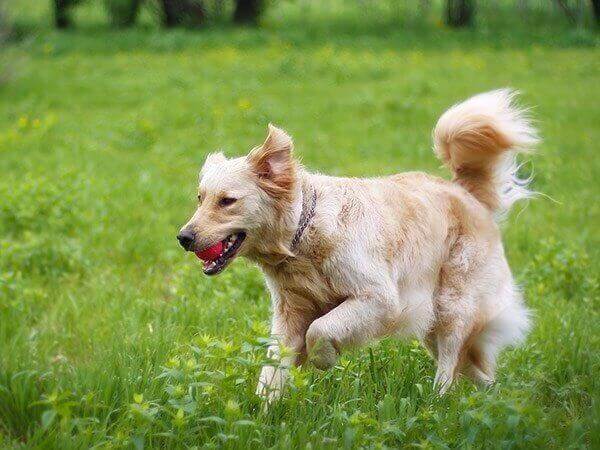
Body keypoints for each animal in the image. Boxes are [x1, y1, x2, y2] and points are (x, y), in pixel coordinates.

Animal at [177, 88, 536, 400]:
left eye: (227, 201)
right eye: (200, 198)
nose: (183, 237)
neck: (302, 235)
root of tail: (464, 191)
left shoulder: (380, 298)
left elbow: (320, 329)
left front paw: (322, 358)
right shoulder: (289, 314)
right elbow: (272, 369)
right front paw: (264, 413)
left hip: (452, 305)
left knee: (450, 362)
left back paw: (438, 401)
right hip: (433, 324)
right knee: (474, 369)